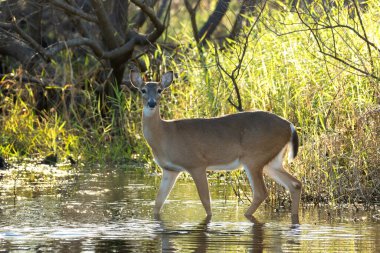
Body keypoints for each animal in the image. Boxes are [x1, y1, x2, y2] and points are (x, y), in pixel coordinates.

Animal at [131, 70, 302, 223]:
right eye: (143, 90)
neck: (165, 134)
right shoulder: (170, 170)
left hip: (254, 157)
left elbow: (206, 201)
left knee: (261, 192)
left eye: (159, 90)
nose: (151, 103)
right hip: (272, 161)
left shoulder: (196, 164)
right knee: (295, 184)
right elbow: (158, 203)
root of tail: (290, 126)